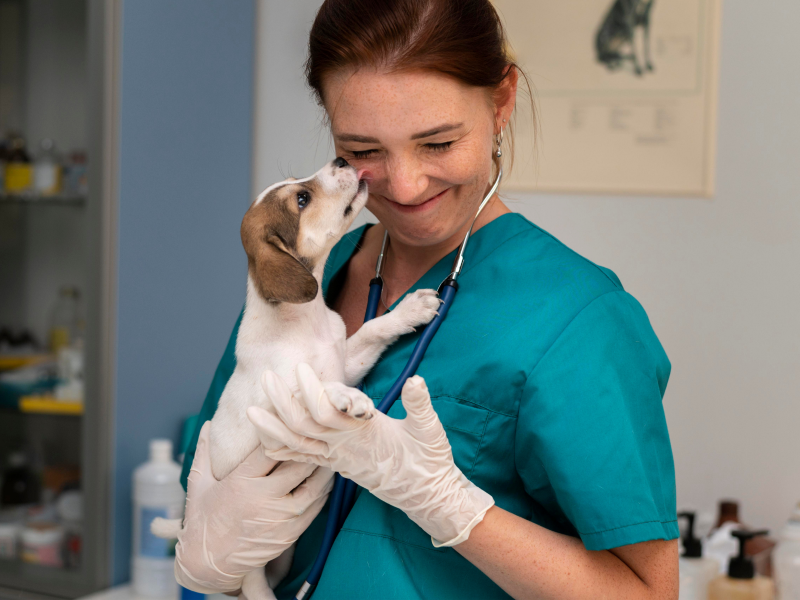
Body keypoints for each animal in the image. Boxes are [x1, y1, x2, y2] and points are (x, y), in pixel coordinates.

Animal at [153, 157, 440, 596]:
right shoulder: (274, 412)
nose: (342, 160)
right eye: (302, 199)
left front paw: (410, 310)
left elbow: (370, 332)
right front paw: (348, 400)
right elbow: (316, 390)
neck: (304, 321)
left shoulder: (345, 359)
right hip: (247, 564)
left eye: (297, 186)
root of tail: (188, 522)